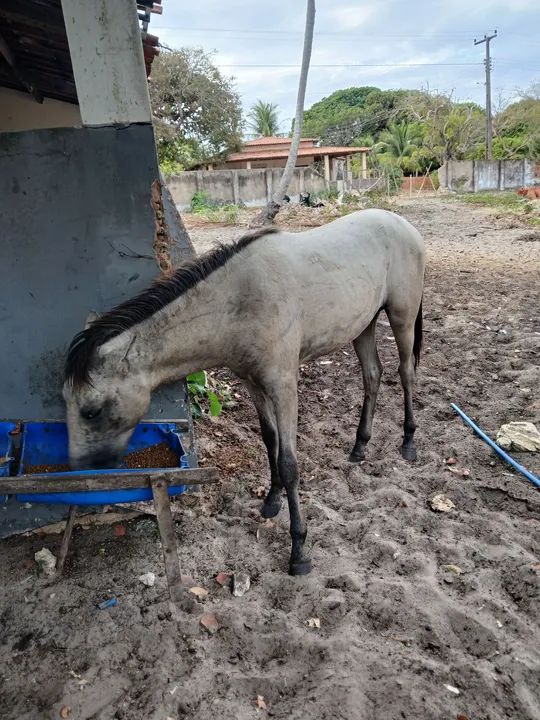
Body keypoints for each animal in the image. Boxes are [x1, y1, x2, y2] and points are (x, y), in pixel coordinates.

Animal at [63, 208, 425, 576]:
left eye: (90, 411)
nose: (78, 469)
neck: (237, 302)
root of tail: (402, 224)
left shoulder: (283, 385)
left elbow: (289, 463)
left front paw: (299, 550)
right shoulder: (254, 383)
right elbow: (270, 443)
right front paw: (271, 501)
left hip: (402, 318)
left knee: (406, 373)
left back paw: (408, 441)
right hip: (363, 326)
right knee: (373, 376)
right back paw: (359, 446)